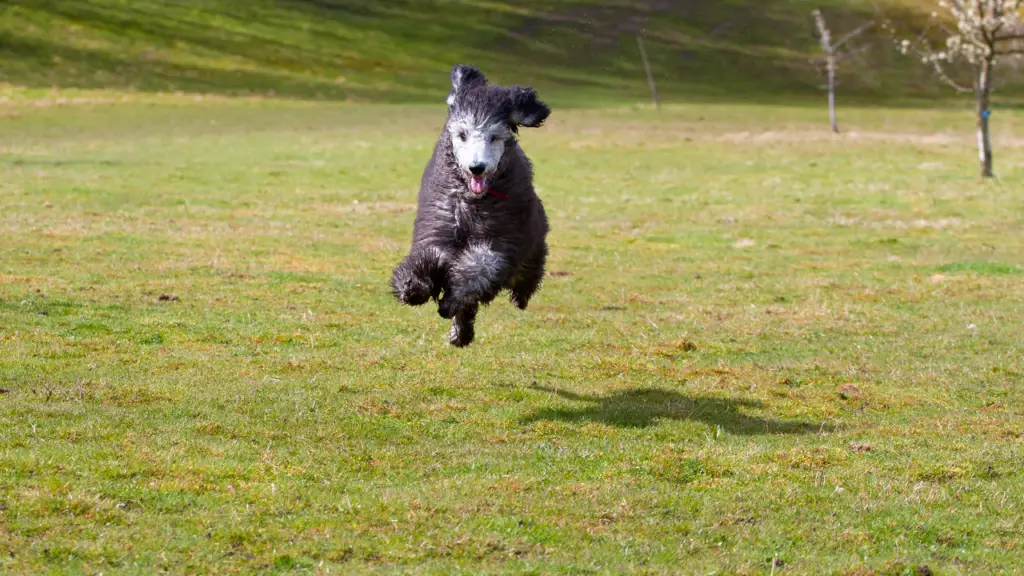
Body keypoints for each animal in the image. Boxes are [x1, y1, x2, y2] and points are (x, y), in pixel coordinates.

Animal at [391, 65, 552, 348]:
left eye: (494, 136)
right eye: (462, 134)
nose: (477, 167)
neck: (470, 202)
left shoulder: (498, 241)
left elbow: (478, 269)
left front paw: (452, 298)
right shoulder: (438, 229)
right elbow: (430, 257)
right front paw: (413, 286)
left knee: (525, 274)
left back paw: (518, 297)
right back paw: (460, 333)